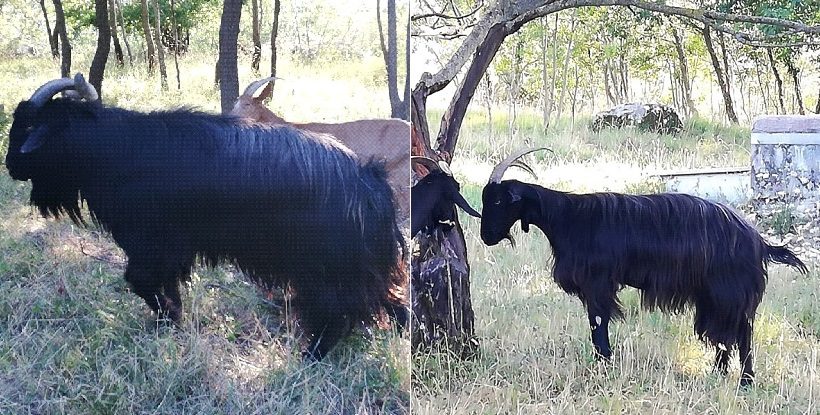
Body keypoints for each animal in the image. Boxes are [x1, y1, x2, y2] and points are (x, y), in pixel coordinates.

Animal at [480, 147, 808, 386]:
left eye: (498, 202)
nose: (486, 237)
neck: (568, 218)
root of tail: (759, 241)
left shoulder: (597, 283)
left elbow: (598, 324)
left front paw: (604, 364)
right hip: (714, 299)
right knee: (725, 336)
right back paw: (719, 375)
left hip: (729, 294)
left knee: (742, 334)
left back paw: (746, 381)